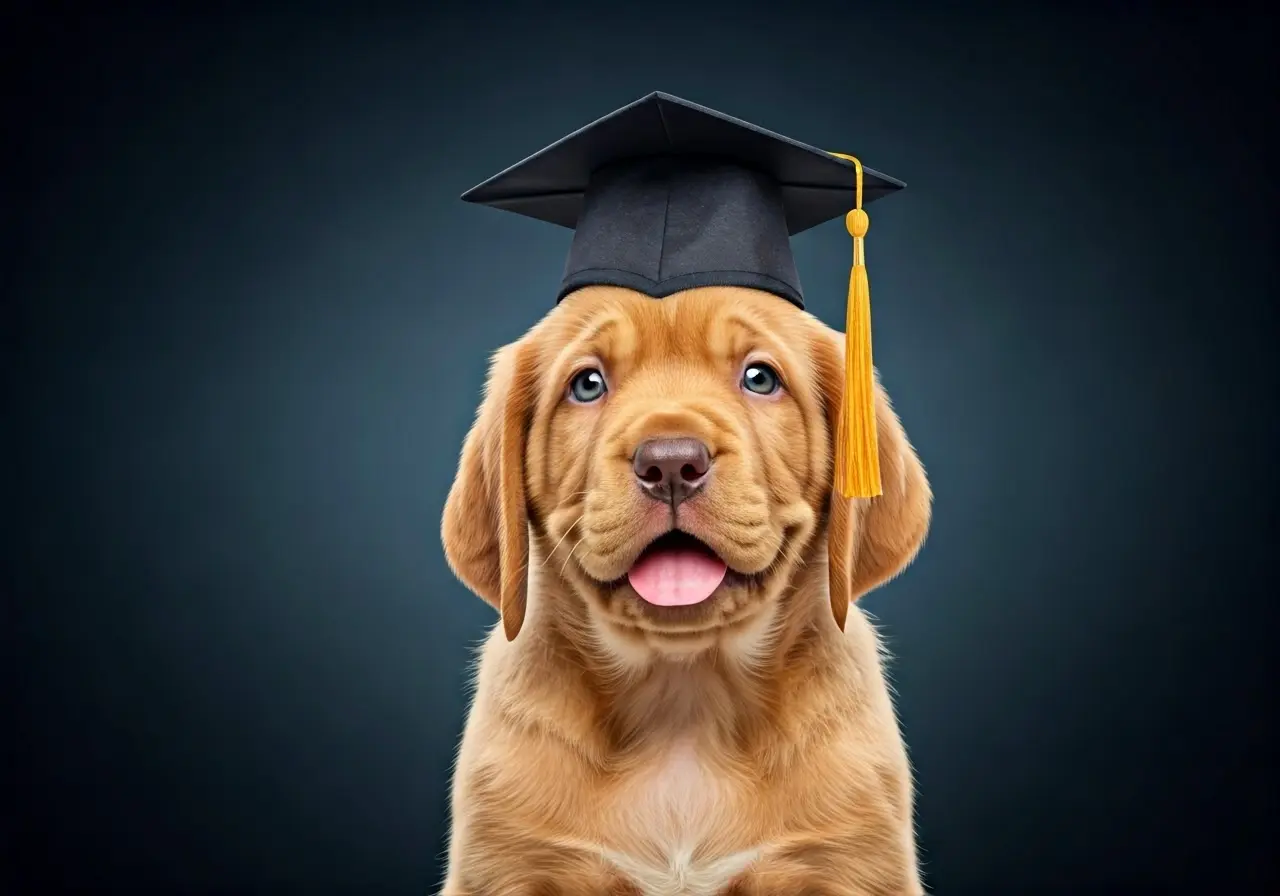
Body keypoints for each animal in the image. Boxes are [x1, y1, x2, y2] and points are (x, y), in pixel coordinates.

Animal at [440, 282, 931, 890]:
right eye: (587, 384)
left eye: (760, 378)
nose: (671, 463)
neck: (685, 698)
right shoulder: (509, 864)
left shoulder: (848, 863)